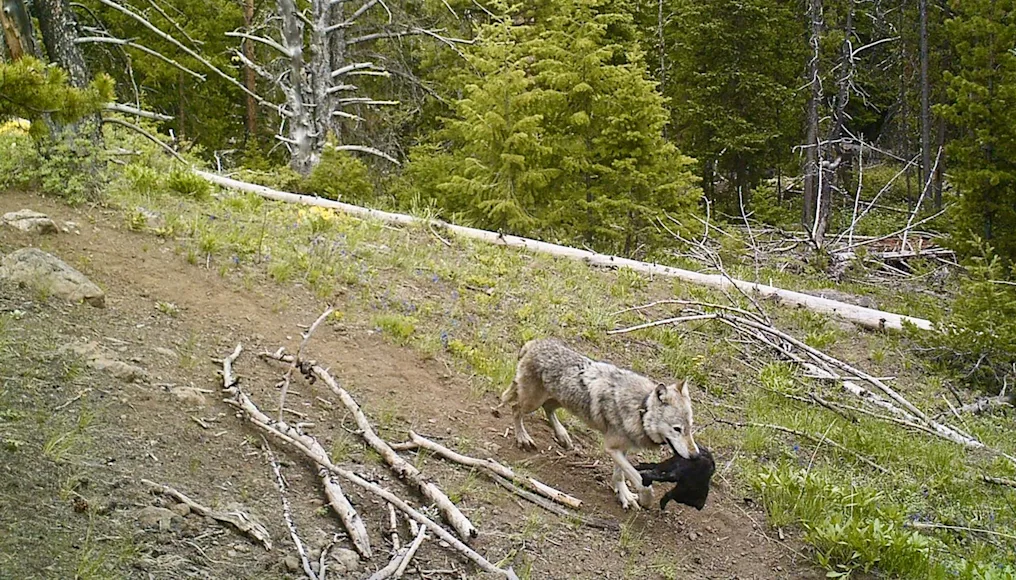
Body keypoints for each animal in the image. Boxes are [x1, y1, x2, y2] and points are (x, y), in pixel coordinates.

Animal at [498, 338, 699, 510]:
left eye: (690, 428)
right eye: (677, 429)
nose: (696, 456)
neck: (640, 409)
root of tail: (533, 343)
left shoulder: (622, 449)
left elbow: (619, 475)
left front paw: (624, 496)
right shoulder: (611, 448)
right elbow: (640, 481)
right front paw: (644, 498)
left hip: (558, 401)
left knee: (547, 409)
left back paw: (563, 436)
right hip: (533, 402)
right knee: (516, 408)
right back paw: (523, 438)